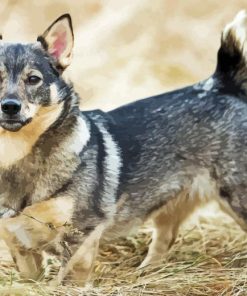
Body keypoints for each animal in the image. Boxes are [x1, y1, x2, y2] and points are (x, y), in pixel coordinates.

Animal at [0, 10, 247, 286]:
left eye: (33, 79)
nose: (9, 106)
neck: (15, 156)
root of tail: (221, 86)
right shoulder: (20, 247)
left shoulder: (81, 236)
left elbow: (70, 280)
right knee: (164, 240)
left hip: (238, 200)